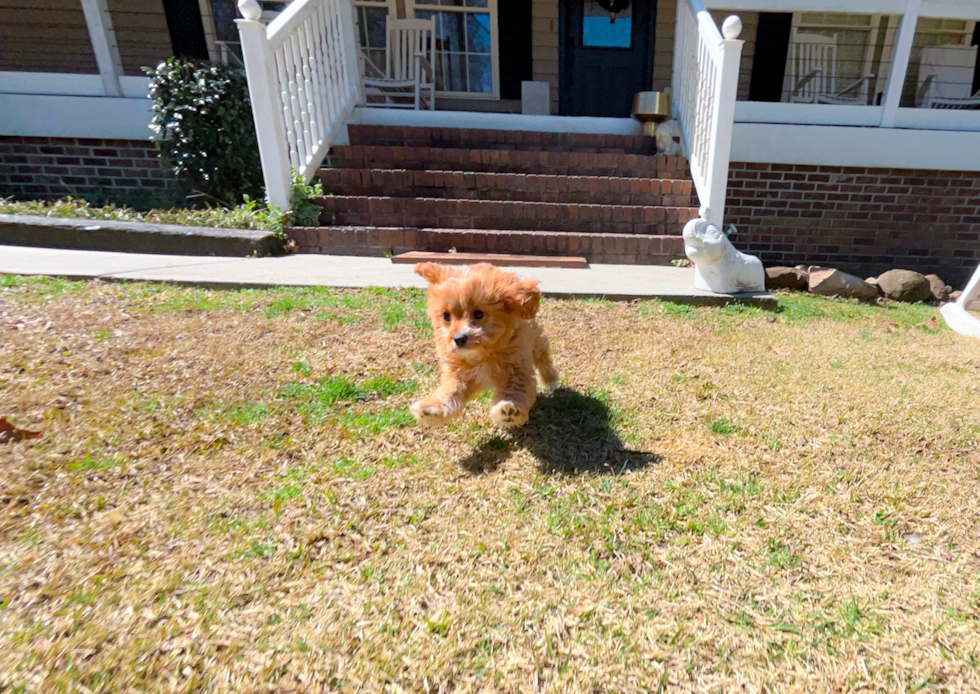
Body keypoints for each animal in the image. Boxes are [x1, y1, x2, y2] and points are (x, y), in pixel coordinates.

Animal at [408, 264, 560, 430]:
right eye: (446, 316)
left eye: (478, 313)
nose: (459, 339)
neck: (481, 355)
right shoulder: (458, 375)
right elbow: (450, 392)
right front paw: (431, 408)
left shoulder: (517, 369)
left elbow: (516, 390)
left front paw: (508, 409)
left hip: (536, 340)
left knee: (543, 359)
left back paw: (550, 380)